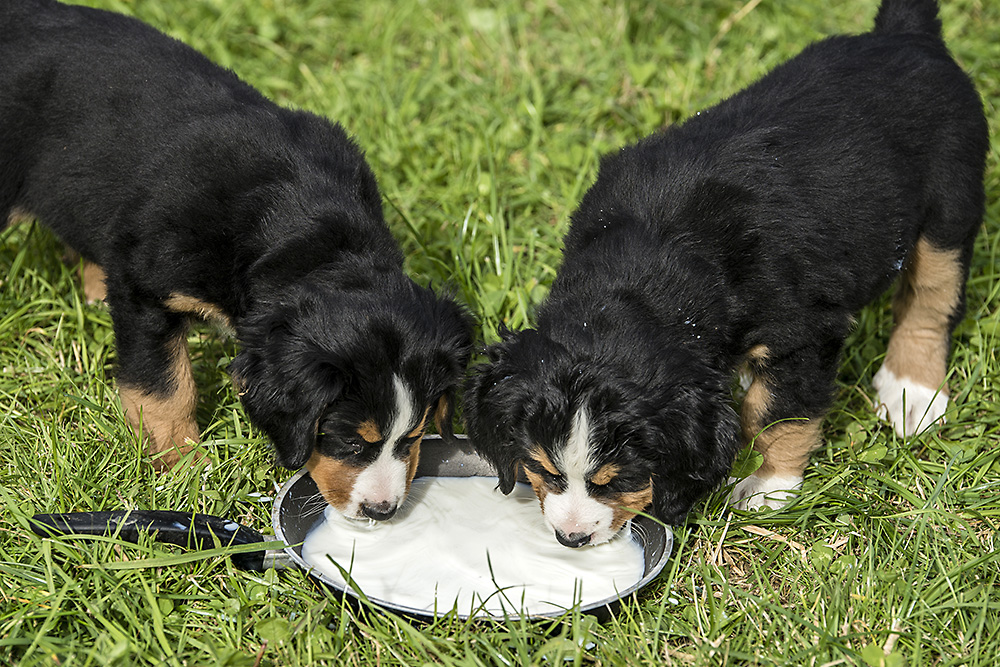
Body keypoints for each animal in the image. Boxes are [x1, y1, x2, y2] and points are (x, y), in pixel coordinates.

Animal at [0, 0, 472, 520]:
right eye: (349, 441)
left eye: (413, 437)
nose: (382, 511)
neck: (308, 225)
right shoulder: (145, 289)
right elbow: (166, 388)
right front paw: (185, 468)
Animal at [464, 0, 988, 548]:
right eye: (544, 469)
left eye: (618, 479)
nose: (571, 538)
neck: (651, 260)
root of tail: (906, 36)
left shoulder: (803, 335)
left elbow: (780, 412)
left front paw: (767, 486)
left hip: (950, 206)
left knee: (932, 297)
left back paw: (913, 392)